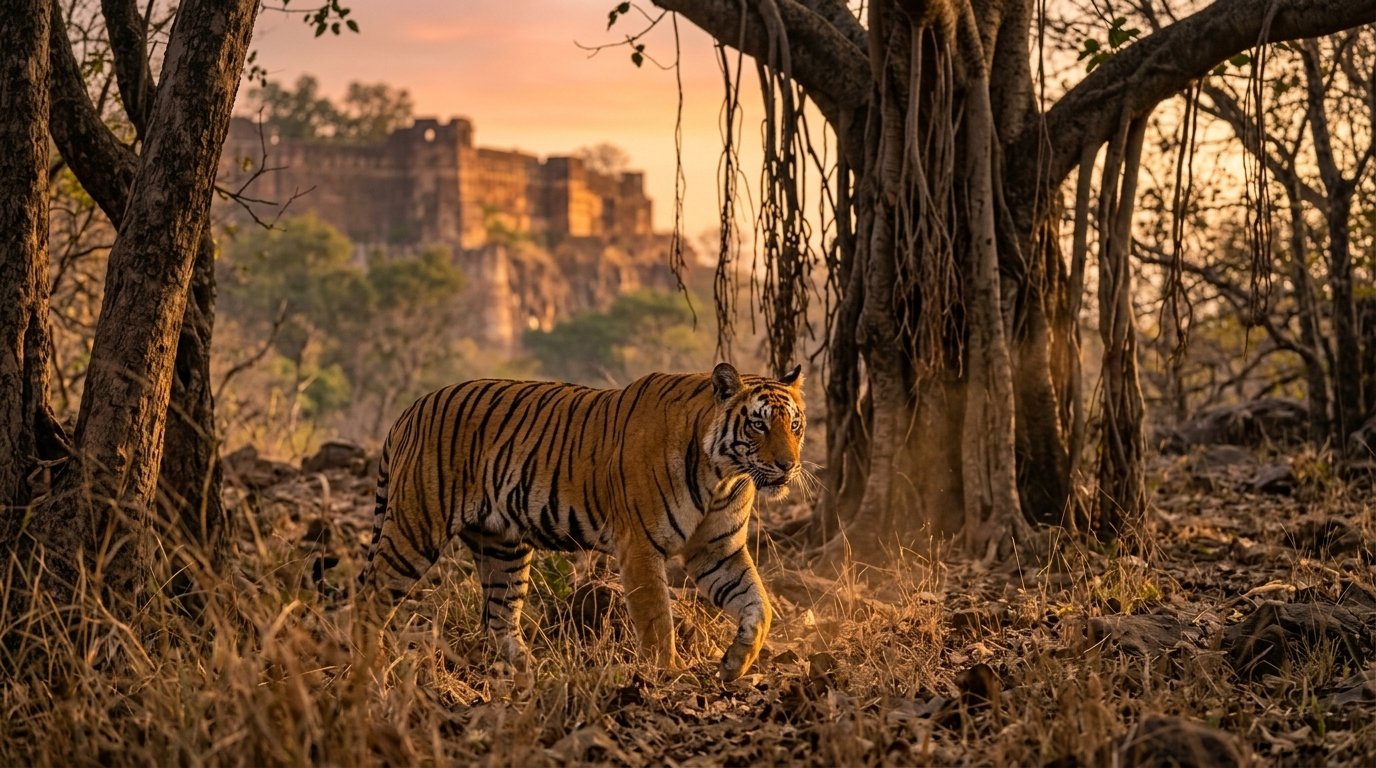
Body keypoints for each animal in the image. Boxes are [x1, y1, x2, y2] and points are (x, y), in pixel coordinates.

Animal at [355, 362, 806, 682]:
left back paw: (529, 676)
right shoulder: (639, 546)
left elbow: (759, 605)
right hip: (415, 528)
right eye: (758, 424)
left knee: (498, 618)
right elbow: (657, 617)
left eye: (795, 425)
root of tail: (410, 410)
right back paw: (370, 669)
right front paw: (667, 673)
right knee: (370, 595)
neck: (724, 474)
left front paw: (735, 663)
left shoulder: (718, 549)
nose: (789, 465)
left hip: (503, 548)